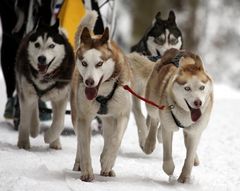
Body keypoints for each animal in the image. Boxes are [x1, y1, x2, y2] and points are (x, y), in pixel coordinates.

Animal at [15, 20, 74, 150]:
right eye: (37, 44)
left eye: (51, 45)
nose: (41, 58)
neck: (45, 77)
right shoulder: (26, 92)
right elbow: (24, 120)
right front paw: (23, 143)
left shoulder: (61, 96)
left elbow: (59, 122)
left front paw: (49, 137)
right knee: (33, 106)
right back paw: (34, 128)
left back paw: (55, 142)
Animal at [70, 11, 132, 181]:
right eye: (84, 63)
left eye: (99, 64)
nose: (89, 82)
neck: (103, 93)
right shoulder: (84, 118)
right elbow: (84, 146)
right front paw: (87, 172)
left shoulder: (122, 114)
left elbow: (116, 140)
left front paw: (107, 162)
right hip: (76, 114)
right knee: (79, 142)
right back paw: (79, 163)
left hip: (109, 118)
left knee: (109, 136)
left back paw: (107, 165)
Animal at [142, 48, 214, 183]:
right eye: (187, 88)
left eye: (202, 87)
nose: (198, 102)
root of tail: (175, 50)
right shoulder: (168, 127)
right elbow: (167, 153)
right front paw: (170, 170)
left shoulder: (195, 131)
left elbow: (190, 155)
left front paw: (185, 177)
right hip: (153, 103)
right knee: (154, 121)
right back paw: (150, 143)